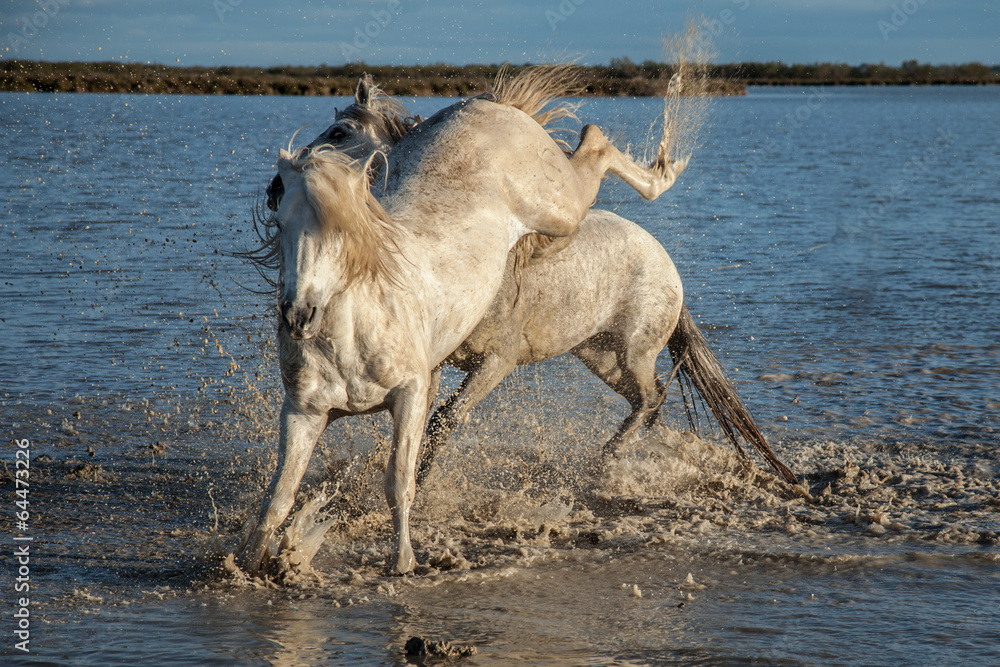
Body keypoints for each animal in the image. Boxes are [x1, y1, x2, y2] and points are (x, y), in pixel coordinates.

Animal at [238, 66, 691, 576]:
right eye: (282, 226)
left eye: (338, 132)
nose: (298, 314)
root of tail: (482, 105)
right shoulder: (315, 409)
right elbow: (281, 495)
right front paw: (253, 559)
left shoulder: (447, 379)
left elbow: (415, 459)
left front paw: (404, 553)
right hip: (600, 353)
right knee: (648, 397)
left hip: (562, 212)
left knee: (595, 145)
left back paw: (664, 168)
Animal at [263, 76, 797, 487]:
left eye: (339, 130)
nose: (274, 189)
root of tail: (666, 263)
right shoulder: (435, 361)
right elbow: (426, 421)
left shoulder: (498, 361)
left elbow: (447, 418)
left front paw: (422, 486)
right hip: (600, 356)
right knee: (652, 404)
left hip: (629, 340)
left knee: (650, 398)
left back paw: (603, 461)